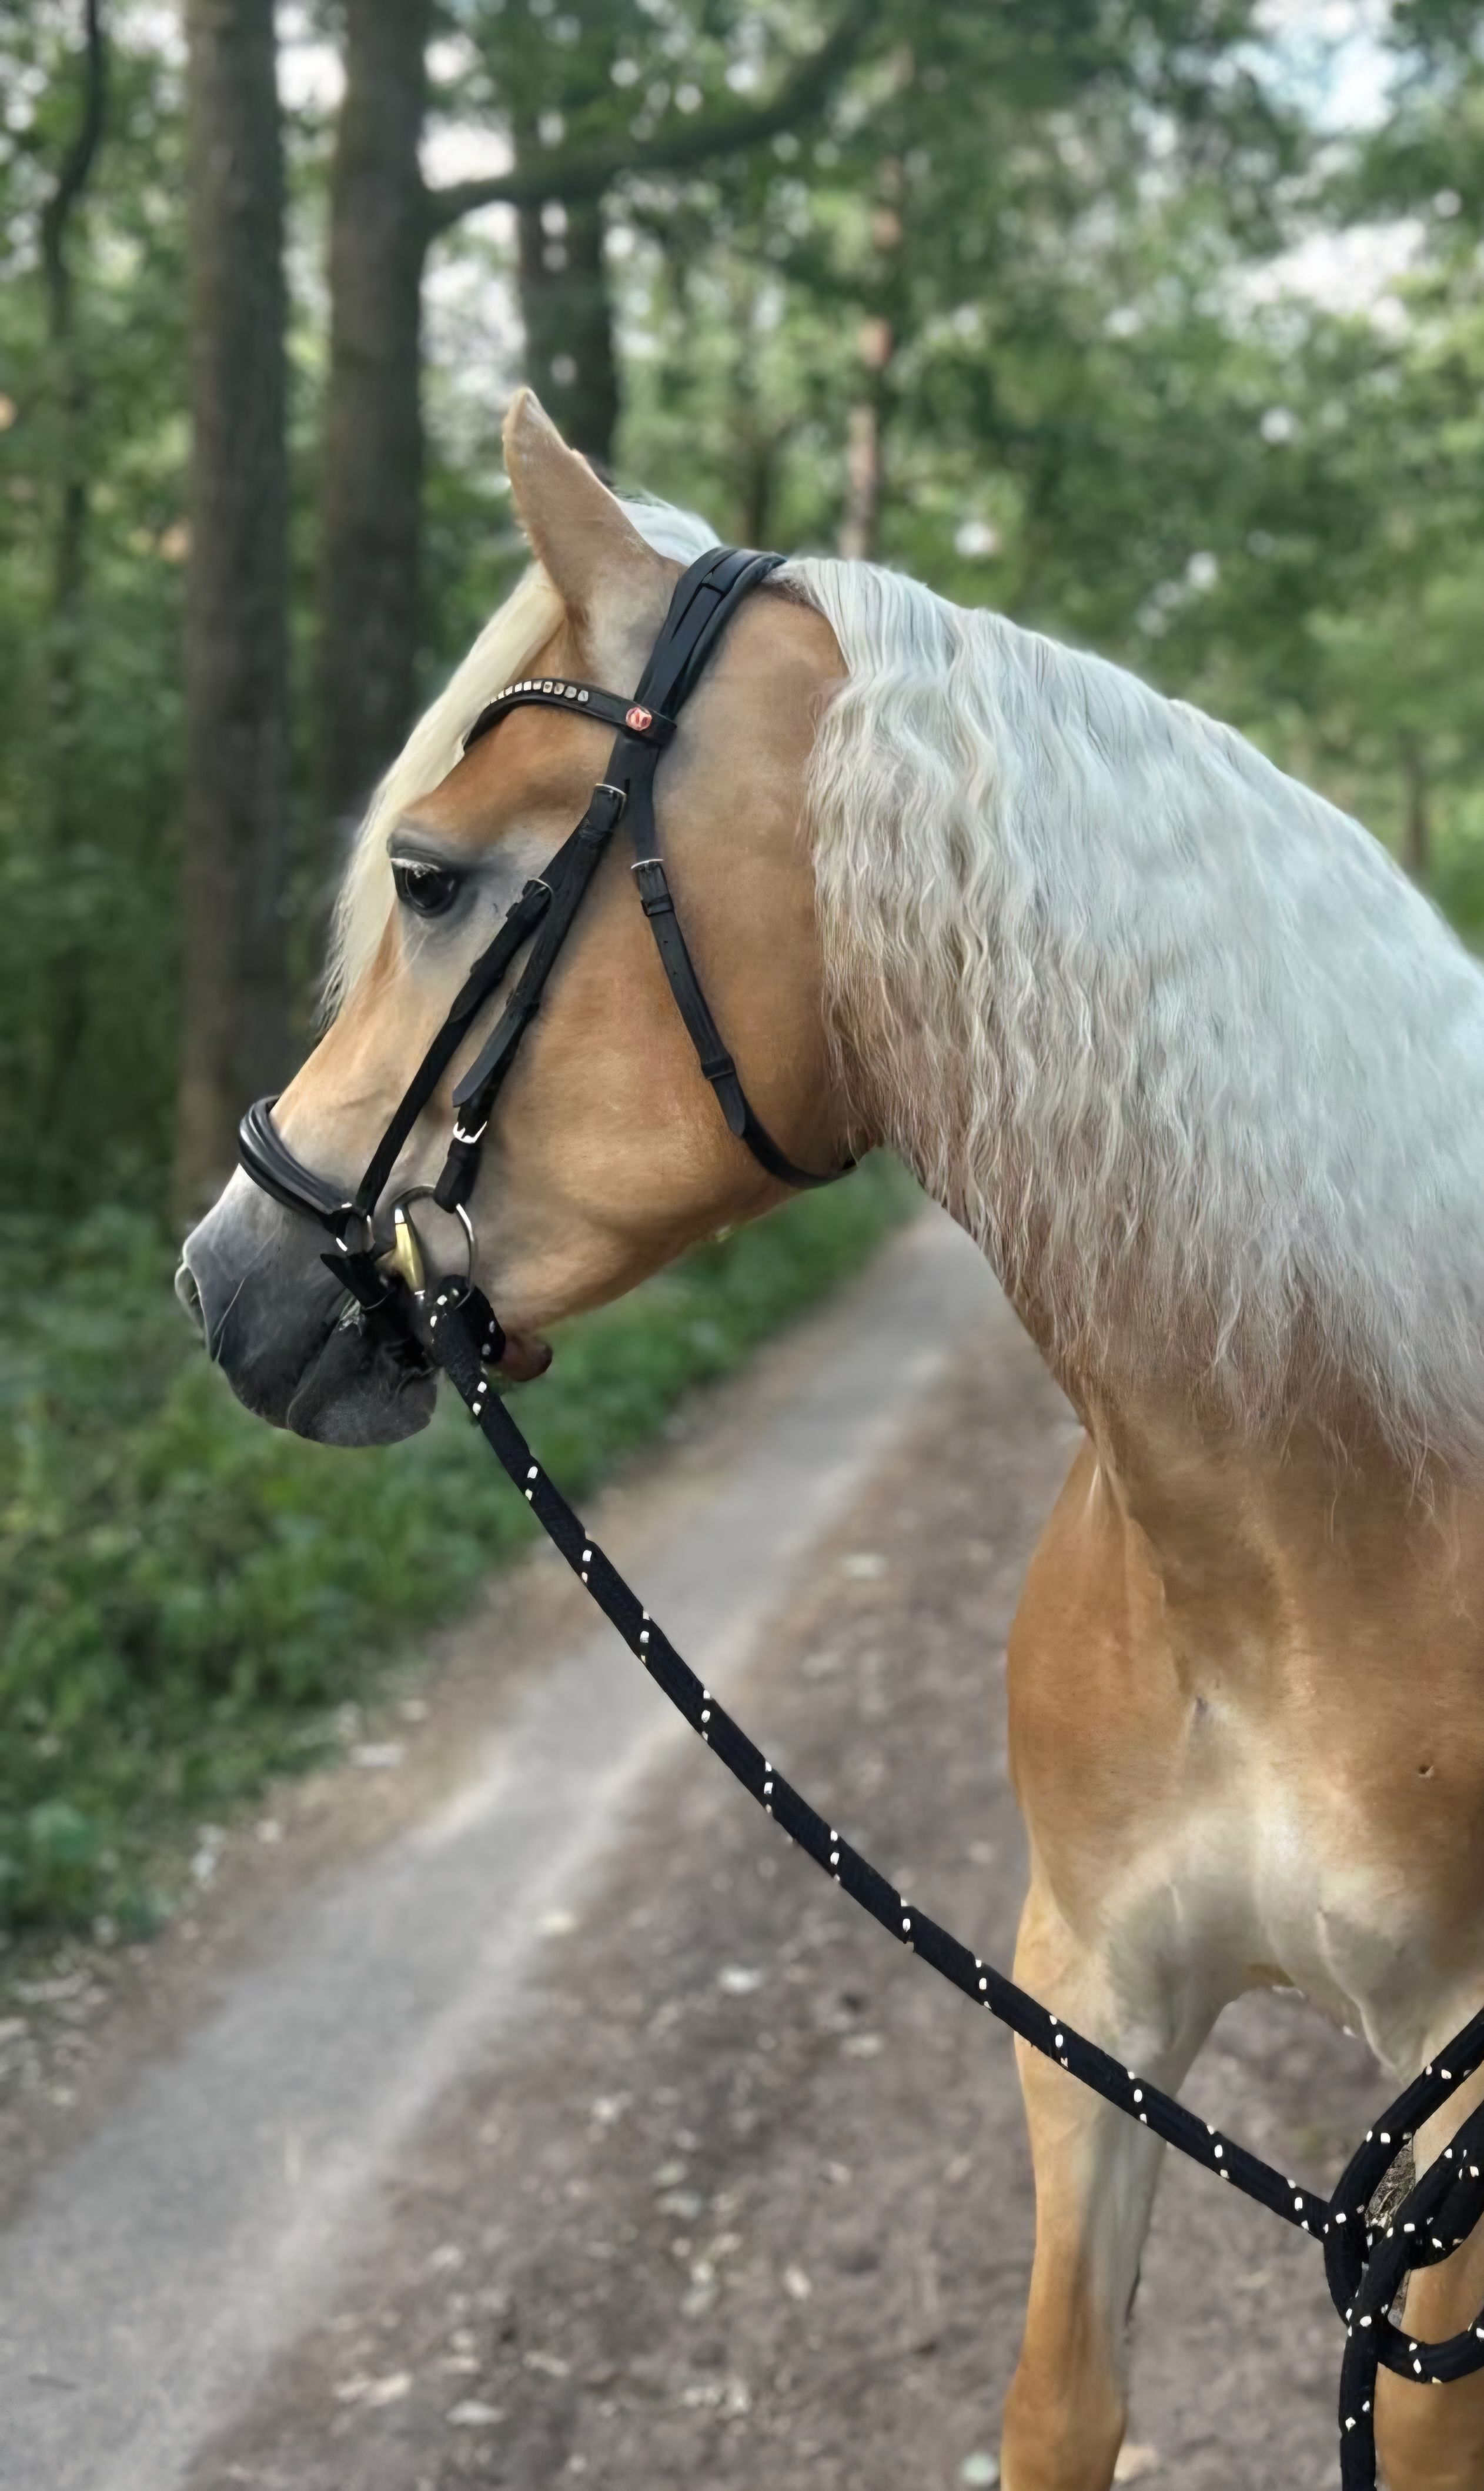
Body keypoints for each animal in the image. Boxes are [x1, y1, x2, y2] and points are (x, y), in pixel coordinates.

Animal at [179, 388, 1484, 2490]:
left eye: (435, 876)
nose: (223, 1279)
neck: (1309, 1546)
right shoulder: (1089, 1996)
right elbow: (1056, 2404)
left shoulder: (1454, 2165)